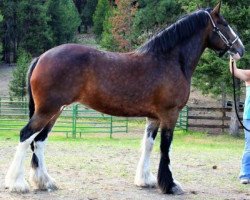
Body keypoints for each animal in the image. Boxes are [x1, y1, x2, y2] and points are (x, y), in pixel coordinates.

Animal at [5, 2, 244, 195]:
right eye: (223, 24)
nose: (240, 49)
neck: (170, 60)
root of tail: (41, 57)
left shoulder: (154, 117)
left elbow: (148, 145)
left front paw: (146, 180)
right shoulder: (170, 114)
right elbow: (165, 148)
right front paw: (170, 185)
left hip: (55, 111)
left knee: (39, 141)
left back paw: (45, 182)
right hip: (47, 110)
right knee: (26, 136)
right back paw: (17, 184)